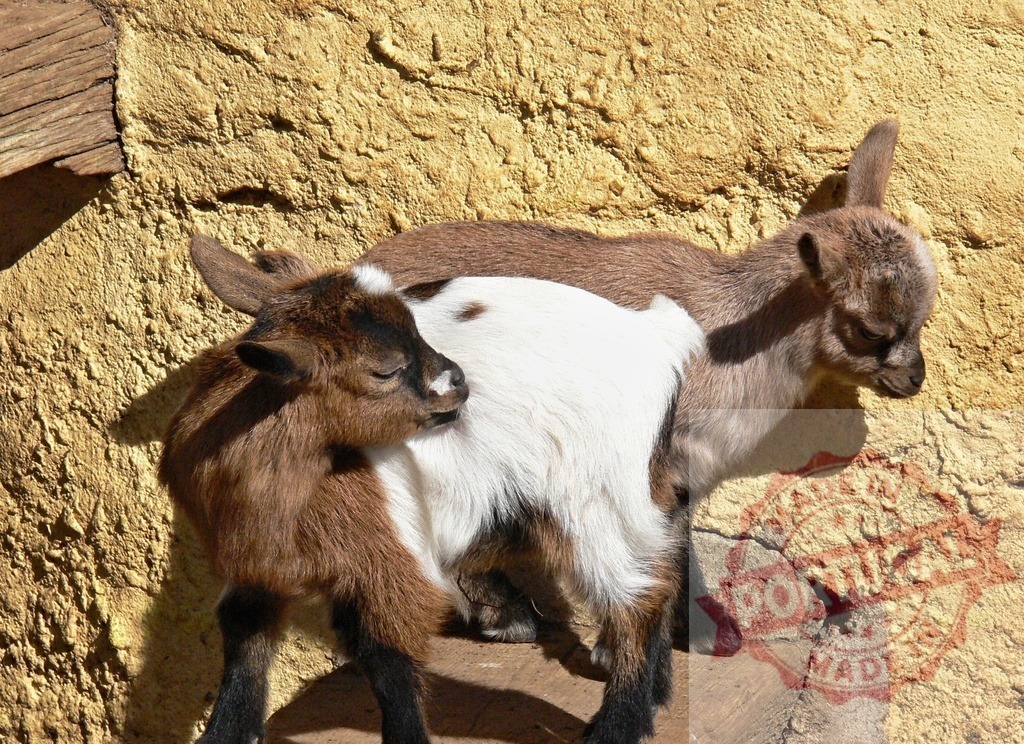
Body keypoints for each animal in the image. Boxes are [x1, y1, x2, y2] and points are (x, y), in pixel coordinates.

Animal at [161, 235, 705, 743]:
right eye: (385, 369)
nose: (460, 381)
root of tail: (655, 334)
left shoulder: (385, 560)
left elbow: (388, 658)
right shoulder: (254, 564)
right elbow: (243, 641)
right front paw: (225, 732)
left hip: (599, 499)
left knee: (636, 598)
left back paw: (618, 724)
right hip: (641, 487)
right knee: (666, 552)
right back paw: (656, 692)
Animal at [356, 119, 939, 650]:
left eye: (924, 316)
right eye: (872, 330)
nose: (913, 379)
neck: (729, 333)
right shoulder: (656, 458)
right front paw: (697, 634)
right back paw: (500, 615)